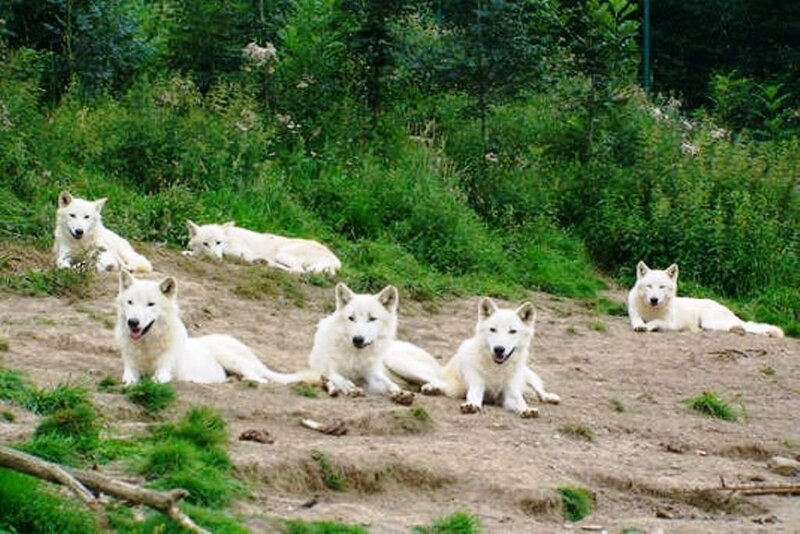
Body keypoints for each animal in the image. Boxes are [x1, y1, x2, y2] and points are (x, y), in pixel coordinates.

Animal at [115, 270, 314, 385]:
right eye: (130, 302)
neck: (147, 345)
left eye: (151, 304)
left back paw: (239, 379)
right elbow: (129, 379)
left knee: (260, 379)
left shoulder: (163, 372)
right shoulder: (130, 367)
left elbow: (157, 379)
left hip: (228, 357)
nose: (133, 322)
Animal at [185, 220, 341, 275]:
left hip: (283, 254)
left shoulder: (241, 254)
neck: (228, 241)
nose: (217, 259)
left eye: (218, 242)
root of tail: (335, 260)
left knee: (298, 271)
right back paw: (263, 262)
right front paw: (189, 252)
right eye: (205, 244)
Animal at [385, 298, 561, 418]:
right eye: (493, 329)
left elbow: (520, 401)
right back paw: (431, 389)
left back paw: (549, 397)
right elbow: (474, 397)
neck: (496, 369)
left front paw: (527, 409)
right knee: (437, 382)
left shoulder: (510, 394)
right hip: (403, 365)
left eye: (512, 331)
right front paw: (471, 406)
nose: (499, 349)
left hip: (526, 374)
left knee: (538, 389)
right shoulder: (477, 385)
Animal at [628, 261, 784, 337]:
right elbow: (637, 320)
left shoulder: (672, 325)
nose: (654, 300)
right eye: (649, 286)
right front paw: (640, 326)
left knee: (746, 326)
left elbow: (656, 321)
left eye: (662, 287)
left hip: (710, 322)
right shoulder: (634, 315)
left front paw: (648, 326)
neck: (651, 310)